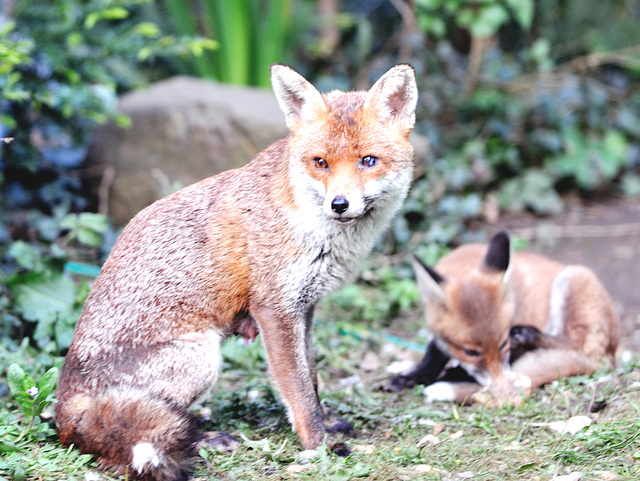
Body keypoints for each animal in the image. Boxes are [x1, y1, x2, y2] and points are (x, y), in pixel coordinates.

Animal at [52, 64, 418, 480]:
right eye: (320, 162)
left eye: (368, 161)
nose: (339, 204)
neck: (317, 231)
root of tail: (64, 410)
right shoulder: (274, 310)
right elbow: (299, 393)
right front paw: (320, 445)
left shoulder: (305, 308)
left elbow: (311, 379)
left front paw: (328, 425)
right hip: (202, 358)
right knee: (141, 427)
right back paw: (203, 440)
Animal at [388, 231, 616, 404]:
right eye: (470, 352)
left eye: (503, 343)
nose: (500, 383)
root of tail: (610, 358)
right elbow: (433, 356)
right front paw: (411, 377)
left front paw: (448, 376)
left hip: (573, 277)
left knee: (572, 344)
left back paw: (530, 336)